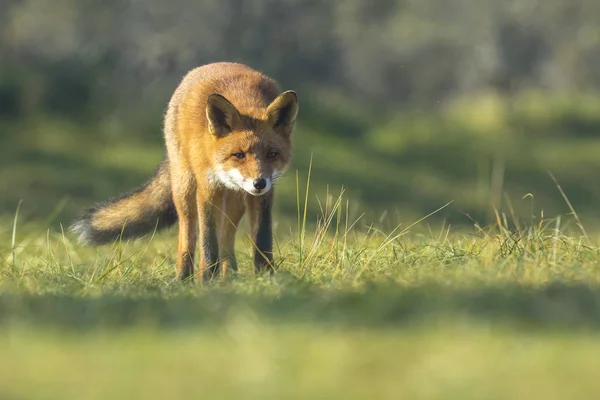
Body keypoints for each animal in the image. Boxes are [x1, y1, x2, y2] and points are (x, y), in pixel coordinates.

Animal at [71, 62, 300, 282]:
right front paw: (206, 279)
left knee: (226, 239)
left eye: (272, 154)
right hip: (186, 189)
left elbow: (262, 240)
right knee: (187, 236)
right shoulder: (208, 189)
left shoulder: (263, 196)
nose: (259, 183)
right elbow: (207, 241)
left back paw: (229, 277)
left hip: (236, 201)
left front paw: (266, 277)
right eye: (239, 155)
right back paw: (184, 277)